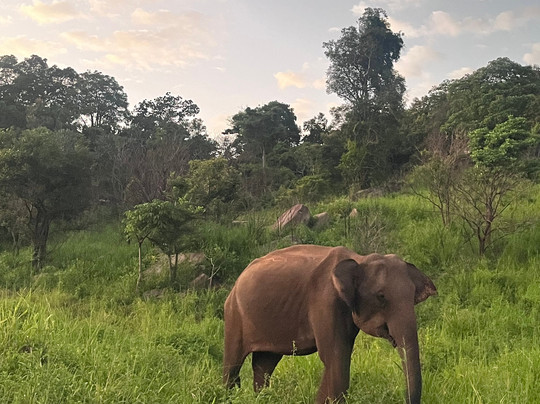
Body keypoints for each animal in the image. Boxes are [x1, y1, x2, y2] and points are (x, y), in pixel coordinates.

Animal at [223, 245, 436, 404]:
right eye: (381, 296)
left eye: (413, 296)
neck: (359, 260)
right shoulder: (325, 302)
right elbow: (336, 359)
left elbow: (338, 358)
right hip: (234, 313)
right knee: (233, 364)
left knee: (264, 364)